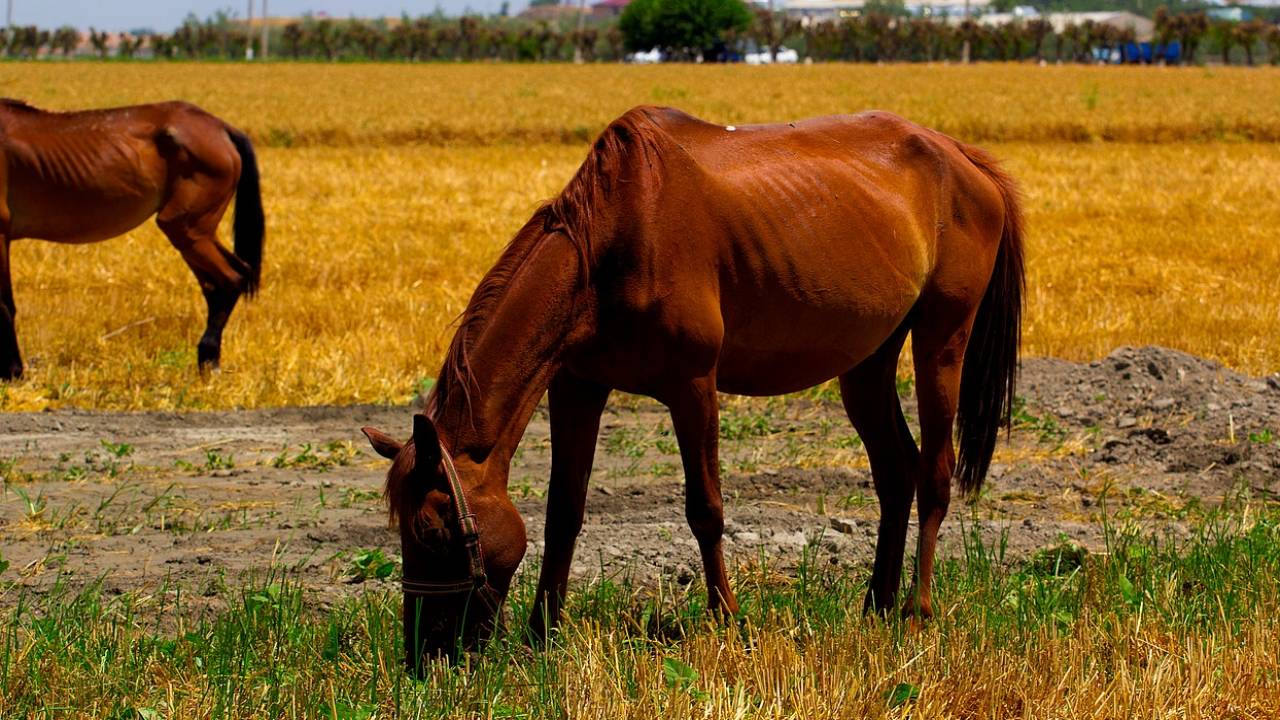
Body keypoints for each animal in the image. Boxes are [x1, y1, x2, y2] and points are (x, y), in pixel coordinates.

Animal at [0, 101, 264, 381]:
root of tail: (220, 127)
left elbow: (4, 304)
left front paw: (13, 372)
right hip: (194, 235)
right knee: (221, 282)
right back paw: (207, 360)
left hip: (187, 229)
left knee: (231, 278)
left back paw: (209, 360)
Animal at [363, 105, 1029, 666]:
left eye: (431, 530)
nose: (424, 651)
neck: (611, 242)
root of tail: (964, 159)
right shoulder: (577, 389)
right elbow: (563, 512)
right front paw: (541, 634)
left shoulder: (693, 385)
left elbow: (705, 509)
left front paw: (728, 621)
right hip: (866, 362)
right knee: (896, 472)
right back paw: (877, 605)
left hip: (941, 341)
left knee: (935, 473)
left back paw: (916, 611)